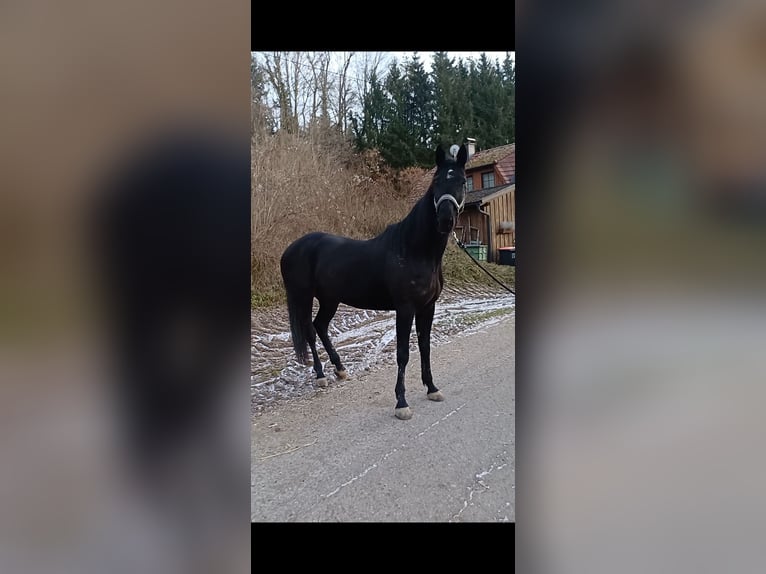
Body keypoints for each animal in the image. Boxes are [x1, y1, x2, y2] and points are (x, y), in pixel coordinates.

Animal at [280, 144, 464, 420]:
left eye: (462, 181)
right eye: (437, 181)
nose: (445, 219)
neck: (414, 250)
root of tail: (290, 250)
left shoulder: (427, 307)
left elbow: (425, 347)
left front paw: (432, 388)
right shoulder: (405, 308)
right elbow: (403, 354)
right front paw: (401, 403)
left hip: (330, 299)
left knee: (320, 326)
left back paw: (340, 369)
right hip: (303, 297)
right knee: (310, 331)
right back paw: (321, 375)